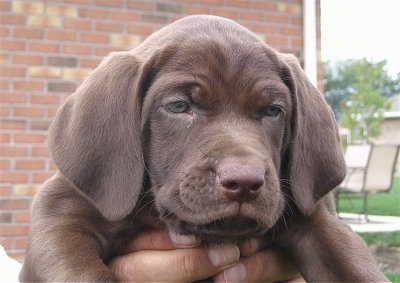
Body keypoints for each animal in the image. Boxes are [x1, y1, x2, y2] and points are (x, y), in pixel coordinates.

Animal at [19, 16, 388, 283]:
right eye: (179, 106)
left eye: (273, 110)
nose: (244, 182)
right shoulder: (61, 218)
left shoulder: (318, 217)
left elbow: (354, 265)